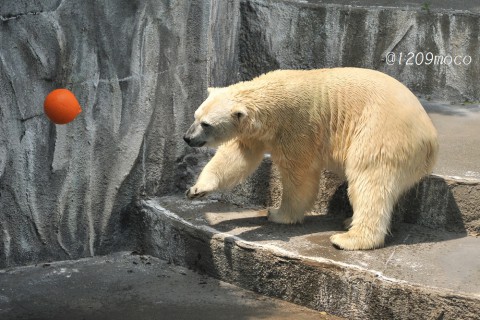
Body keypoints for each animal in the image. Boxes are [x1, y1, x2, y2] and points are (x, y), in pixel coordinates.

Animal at [183, 68, 438, 250]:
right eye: (195, 116)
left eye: (206, 124)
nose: (187, 138)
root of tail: (430, 138)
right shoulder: (255, 133)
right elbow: (237, 156)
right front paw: (197, 189)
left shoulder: (297, 126)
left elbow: (300, 175)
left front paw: (278, 214)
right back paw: (349, 222)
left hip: (381, 133)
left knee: (369, 180)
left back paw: (348, 238)